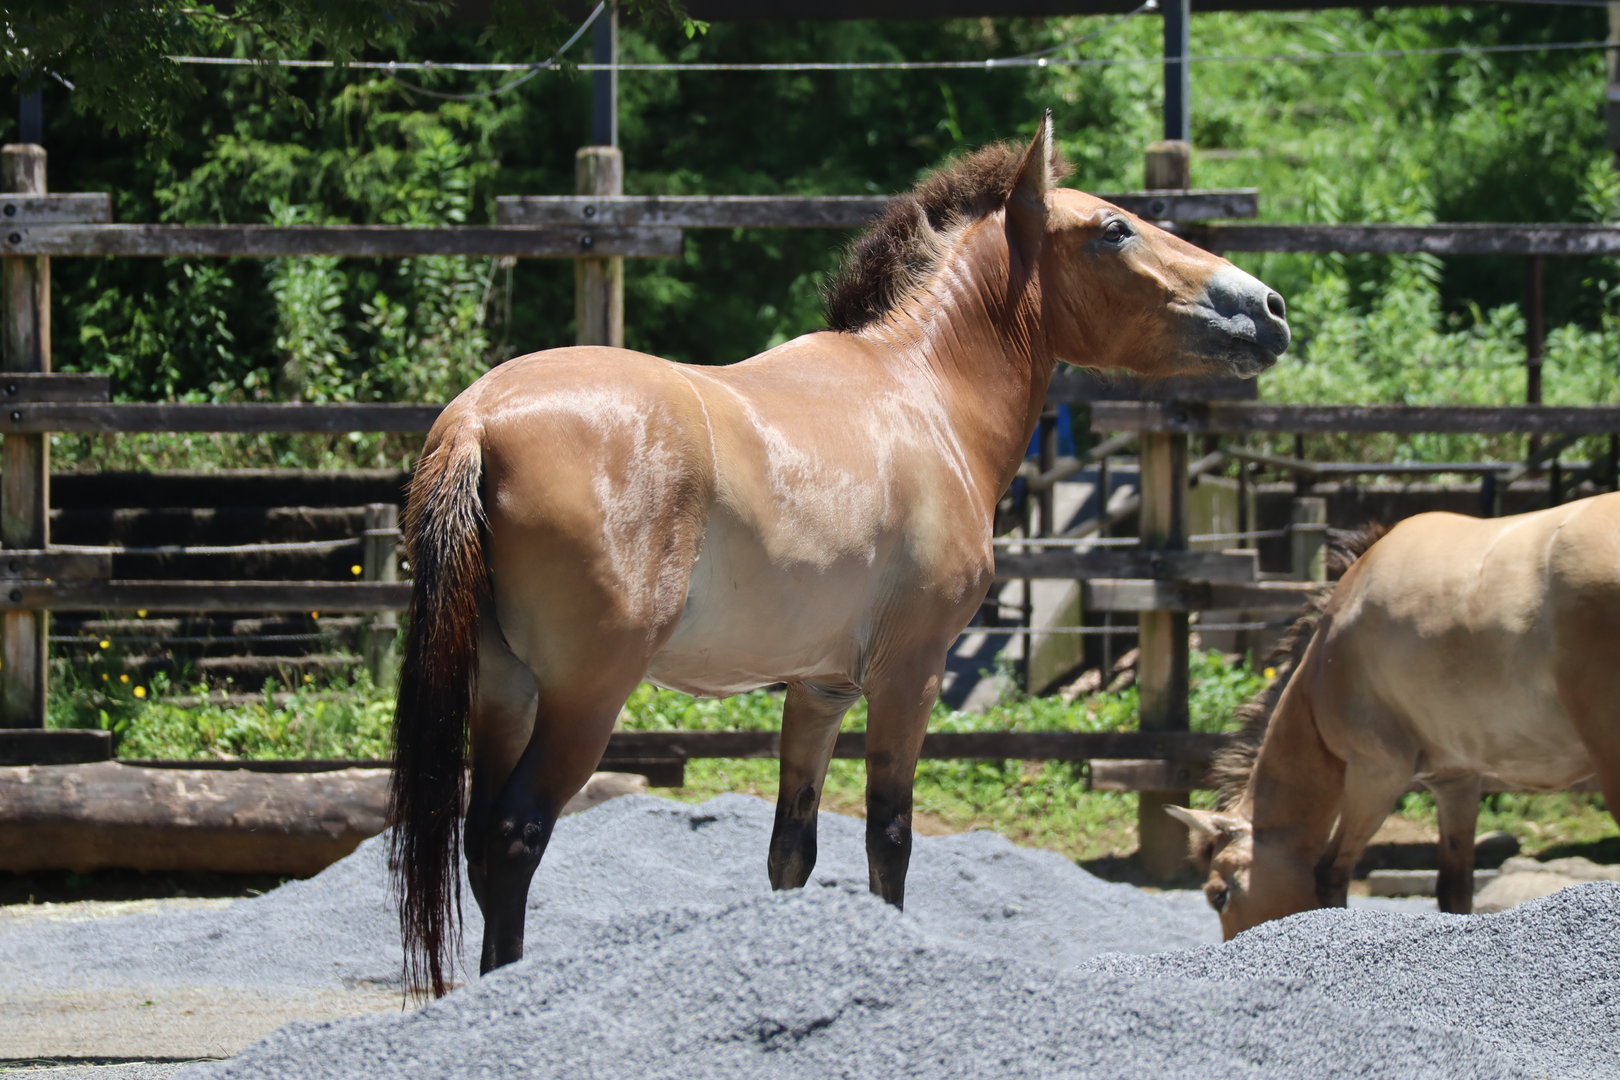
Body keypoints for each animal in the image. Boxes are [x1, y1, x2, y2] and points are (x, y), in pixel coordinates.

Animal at [389, 114, 1292, 996]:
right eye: (1115, 229)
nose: (1269, 307)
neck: (924, 393)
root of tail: (481, 417)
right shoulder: (909, 676)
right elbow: (889, 836)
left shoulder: (818, 690)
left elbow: (793, 848)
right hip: (583, 698)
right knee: (514, 836)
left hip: (504, 687)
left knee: (479, 839)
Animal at [1171, 492, 1620, 940]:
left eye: (1219, 895)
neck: (1326, 655)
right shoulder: (1455, 780)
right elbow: (1454, 889)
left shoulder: (1376, 773)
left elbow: (1330, 874)